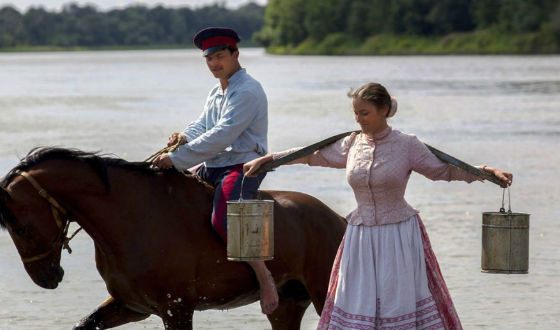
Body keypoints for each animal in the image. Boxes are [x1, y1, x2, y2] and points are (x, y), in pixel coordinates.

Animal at [0, 148, 348, 330]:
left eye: (22, 228)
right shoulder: (132, 305)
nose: (47, 278)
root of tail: (339, 220)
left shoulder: (176, 309)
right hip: (286, 305)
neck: (131, 218)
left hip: (322, 294)